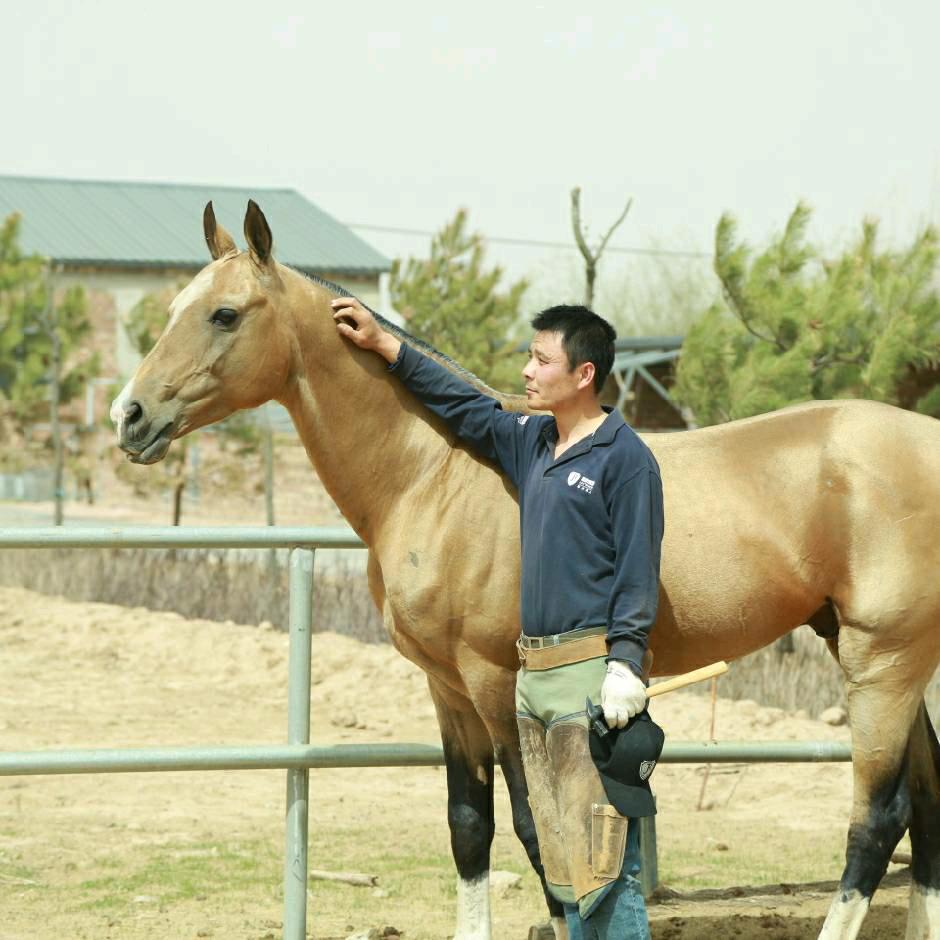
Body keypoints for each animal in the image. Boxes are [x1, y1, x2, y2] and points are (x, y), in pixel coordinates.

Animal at [111, 201, 940, 940]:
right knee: (927, 805)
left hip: (882, 665)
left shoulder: (494, 682)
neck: (435, 472)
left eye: (224, 314)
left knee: (878, 818)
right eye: (176, 306)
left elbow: (540, 831)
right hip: (890, 662)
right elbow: (469, 828)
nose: (130, 415)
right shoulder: (445, 688)